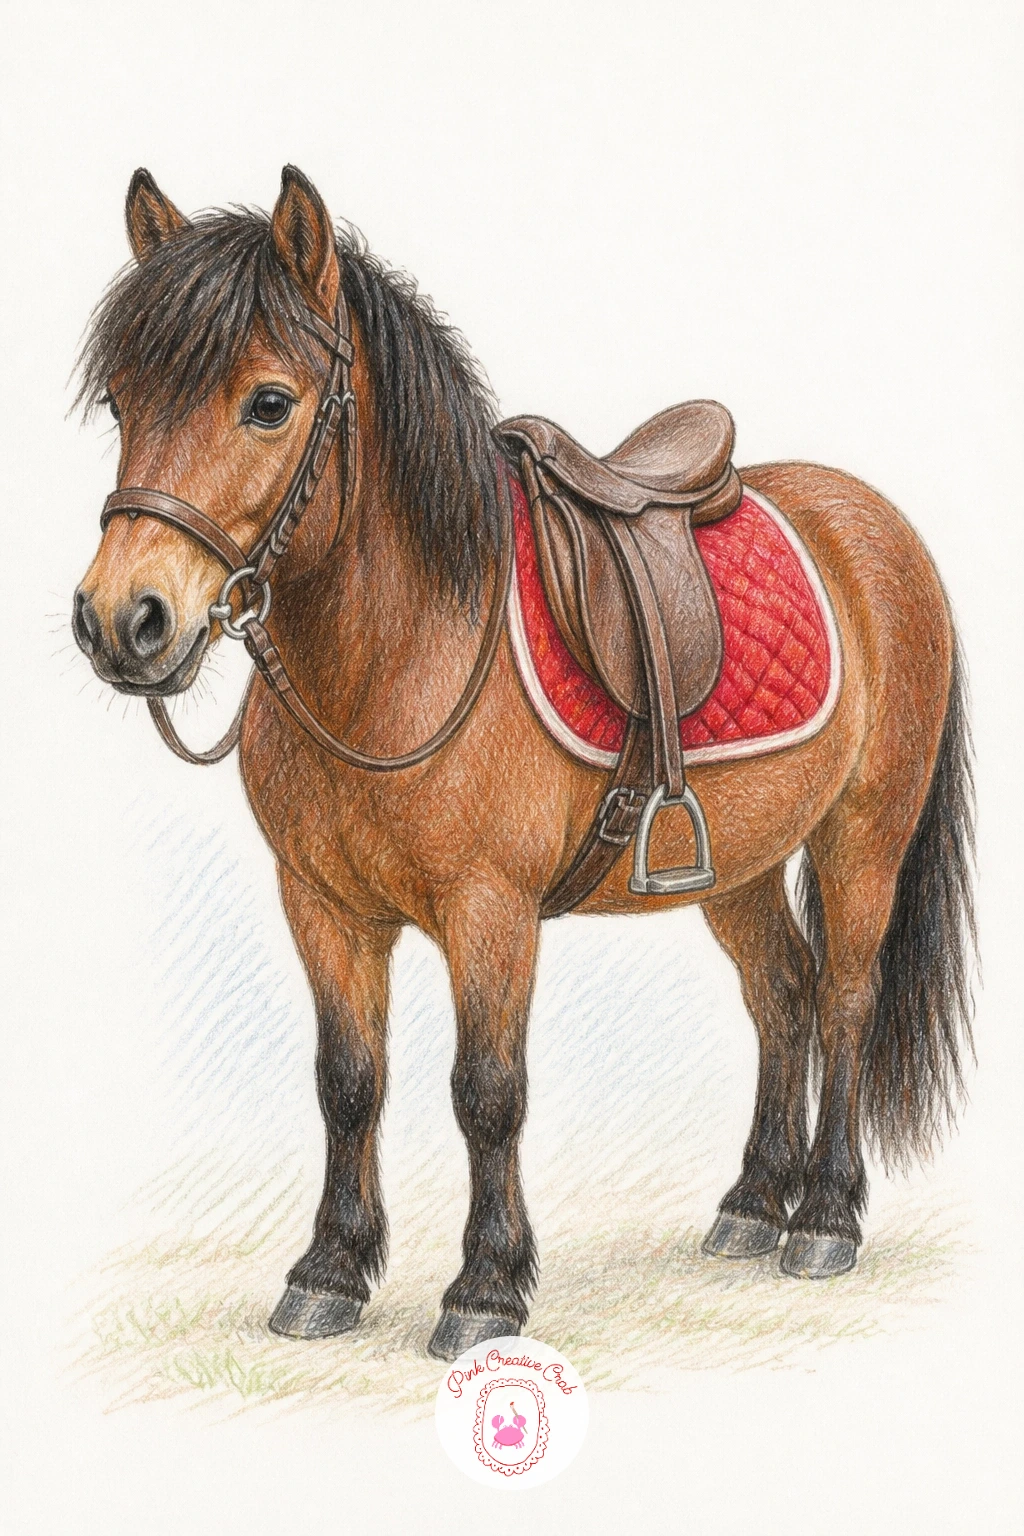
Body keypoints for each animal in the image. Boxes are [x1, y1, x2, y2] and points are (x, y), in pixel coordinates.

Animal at [71, 166, 975, 1363]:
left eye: (268, 402)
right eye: (122, 404)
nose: (121, 620)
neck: (404, 649)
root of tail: (877, 525)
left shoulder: (488, 910)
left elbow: (486, 1091)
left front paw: (485, 1289)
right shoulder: (321, 905)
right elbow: (348, 1083)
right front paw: (329, 1271)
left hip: (862, 837)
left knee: (842, 999)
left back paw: (824, 1217)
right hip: (735, 866)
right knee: (781, 995)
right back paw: (750, 1205)